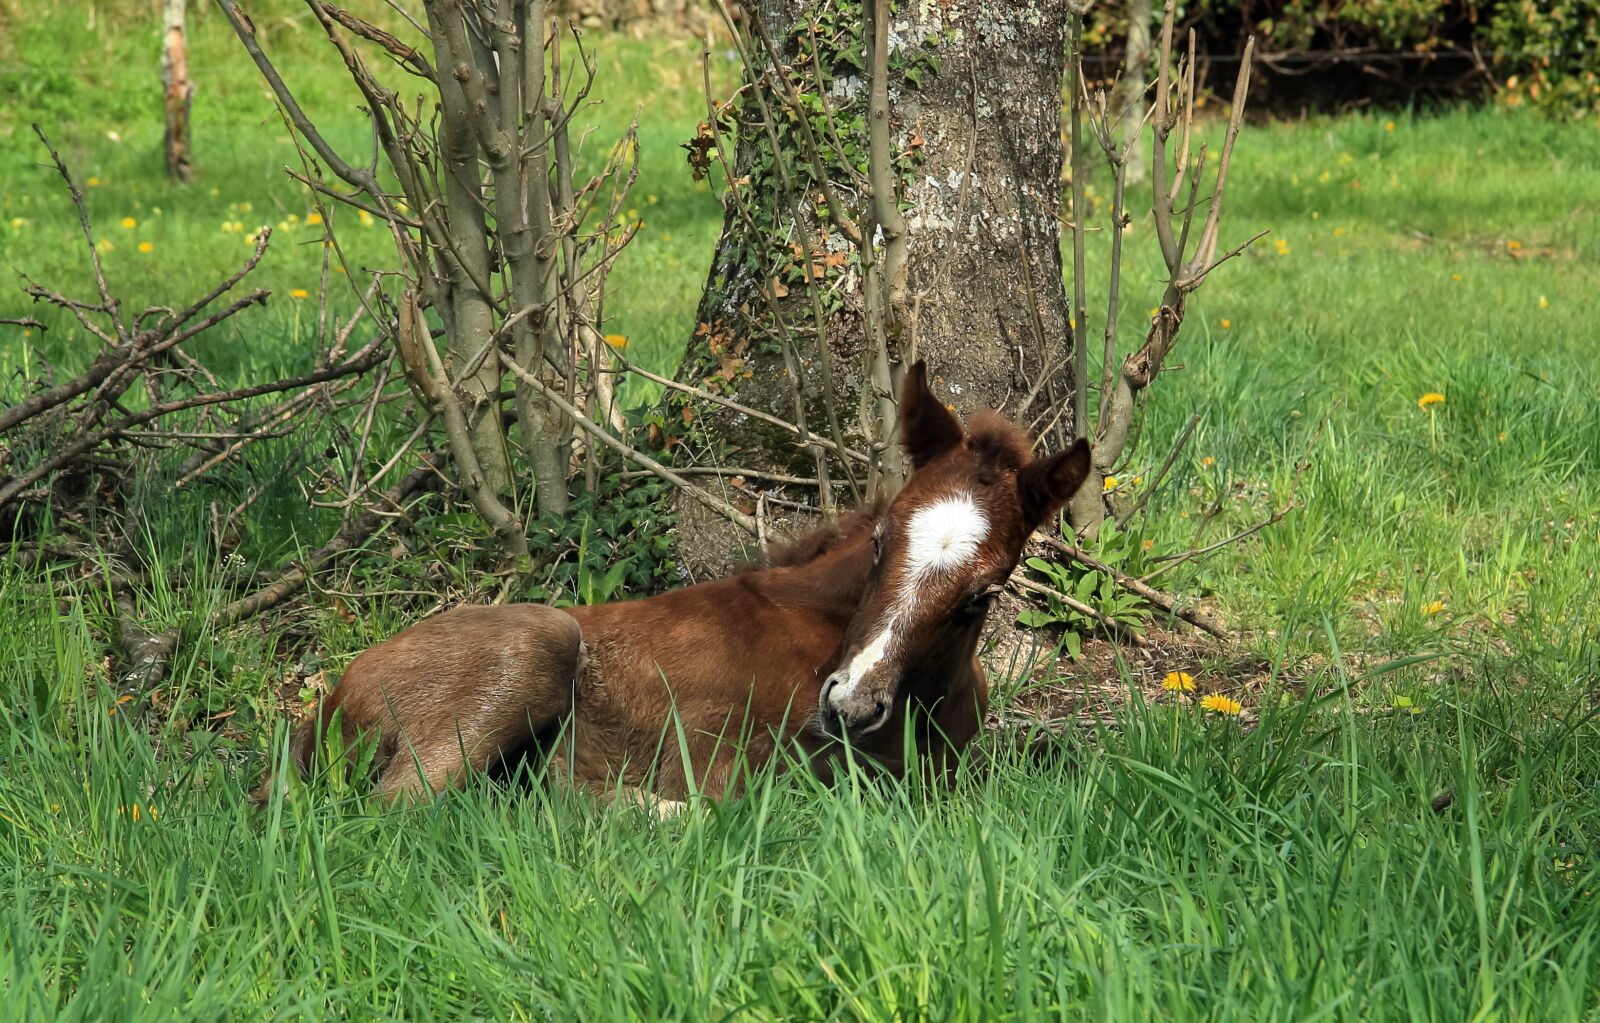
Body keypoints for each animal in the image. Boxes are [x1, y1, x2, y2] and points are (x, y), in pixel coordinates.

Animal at [257, 362, 1091, 806]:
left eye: (982, 595)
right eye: (883, 539)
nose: (849, 705)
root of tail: (325, 704)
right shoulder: (719, 748)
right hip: (531, 647)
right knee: (401, 810)